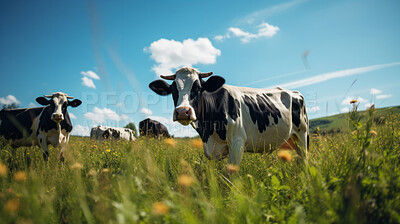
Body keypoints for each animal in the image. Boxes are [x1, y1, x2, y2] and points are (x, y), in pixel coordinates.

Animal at [150, 66, 310, 166]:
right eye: (173, 89)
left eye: (199, 88)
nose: (183, 111)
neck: (208, 130)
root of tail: (294, 92)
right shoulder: (212, 150)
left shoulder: (237, 142)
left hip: (303, 134)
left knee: (304, 160)